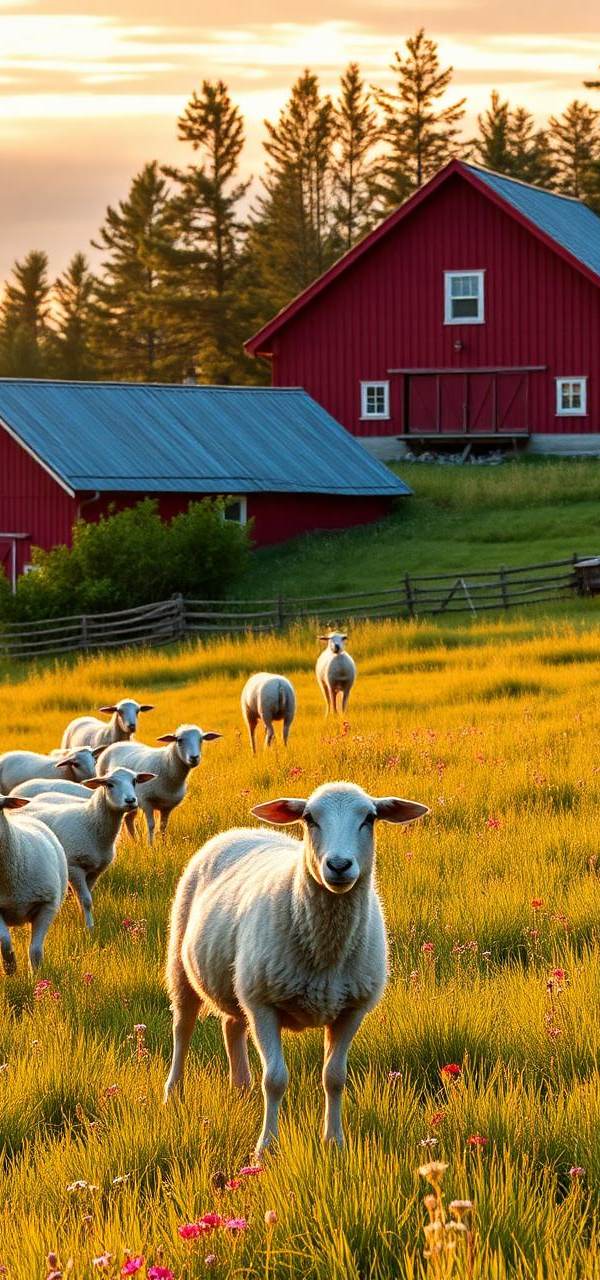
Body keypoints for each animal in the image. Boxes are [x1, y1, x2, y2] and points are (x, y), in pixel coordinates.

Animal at [15, 767, 155, 929]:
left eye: (134, 781)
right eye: (109, 784)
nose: (131, 801)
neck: (89, 820)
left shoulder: (95, 870)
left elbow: (84, 898)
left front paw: (82, 919)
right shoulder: (74, 867)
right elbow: (86, 900)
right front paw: (89, 928)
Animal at [164, 780, 429, 1153]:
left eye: (370, 818)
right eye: (309, 818)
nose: (339, 865)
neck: (327, 952)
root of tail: (239, 830)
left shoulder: (352, 1008)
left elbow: (334, 1078)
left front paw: (334, 1141)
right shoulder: (263, 1004)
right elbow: (275, 1079)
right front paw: (266, 1147)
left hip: (237, 980)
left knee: (232, 1025)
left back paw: (241, 1089)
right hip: (183, 962)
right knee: (182, 1029)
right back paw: (173, 1093)